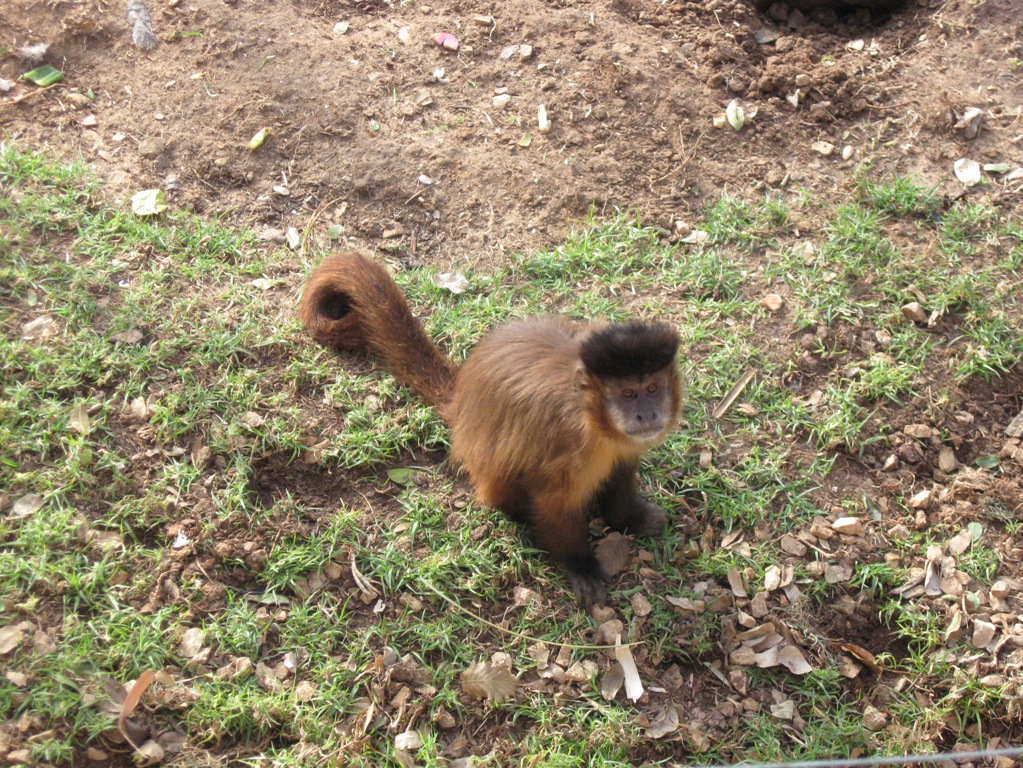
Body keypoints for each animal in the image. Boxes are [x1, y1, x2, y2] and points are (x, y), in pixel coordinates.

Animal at [298, 255, 683, 609]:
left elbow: (621, 472)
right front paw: (580, 566)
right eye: (628, 394)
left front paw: (626, 518)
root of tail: (462, 398)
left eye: (652, 388)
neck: (593, 421)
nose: (646, 414)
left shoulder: (621, 445)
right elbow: (551, 502)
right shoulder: (565, 443)